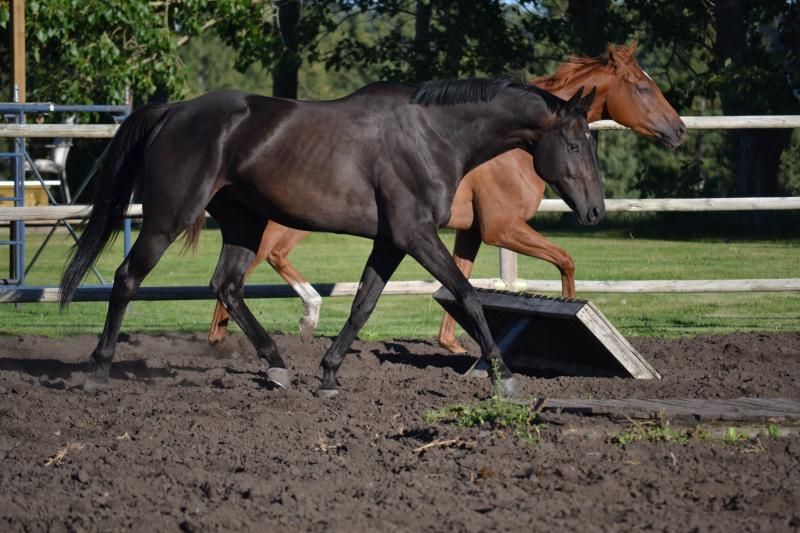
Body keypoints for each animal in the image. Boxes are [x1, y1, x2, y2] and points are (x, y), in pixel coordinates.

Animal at [60, 77, 603, 397]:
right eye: (575, 144)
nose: (595, 211)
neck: (433, 135)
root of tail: (174, 111)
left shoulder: (391, 242)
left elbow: (364, 304)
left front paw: (328, 374)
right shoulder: (417, 235)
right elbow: (468, 295)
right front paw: (503, 376)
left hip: (243, 223)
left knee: (226, 286)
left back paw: (278, 367)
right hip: (167, 219)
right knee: (128, 279)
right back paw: (98, 370)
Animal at [206, 43, 686, 353]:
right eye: (642, 86)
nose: (679, 130)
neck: (506, 145)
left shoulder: (469, 232)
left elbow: (460, 279)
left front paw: (453, 344)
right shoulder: (502, 229)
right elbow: (565, 261)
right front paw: (571, 311)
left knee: (255, 266)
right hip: (291, 223)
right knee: (253, 265)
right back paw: (242, 335)